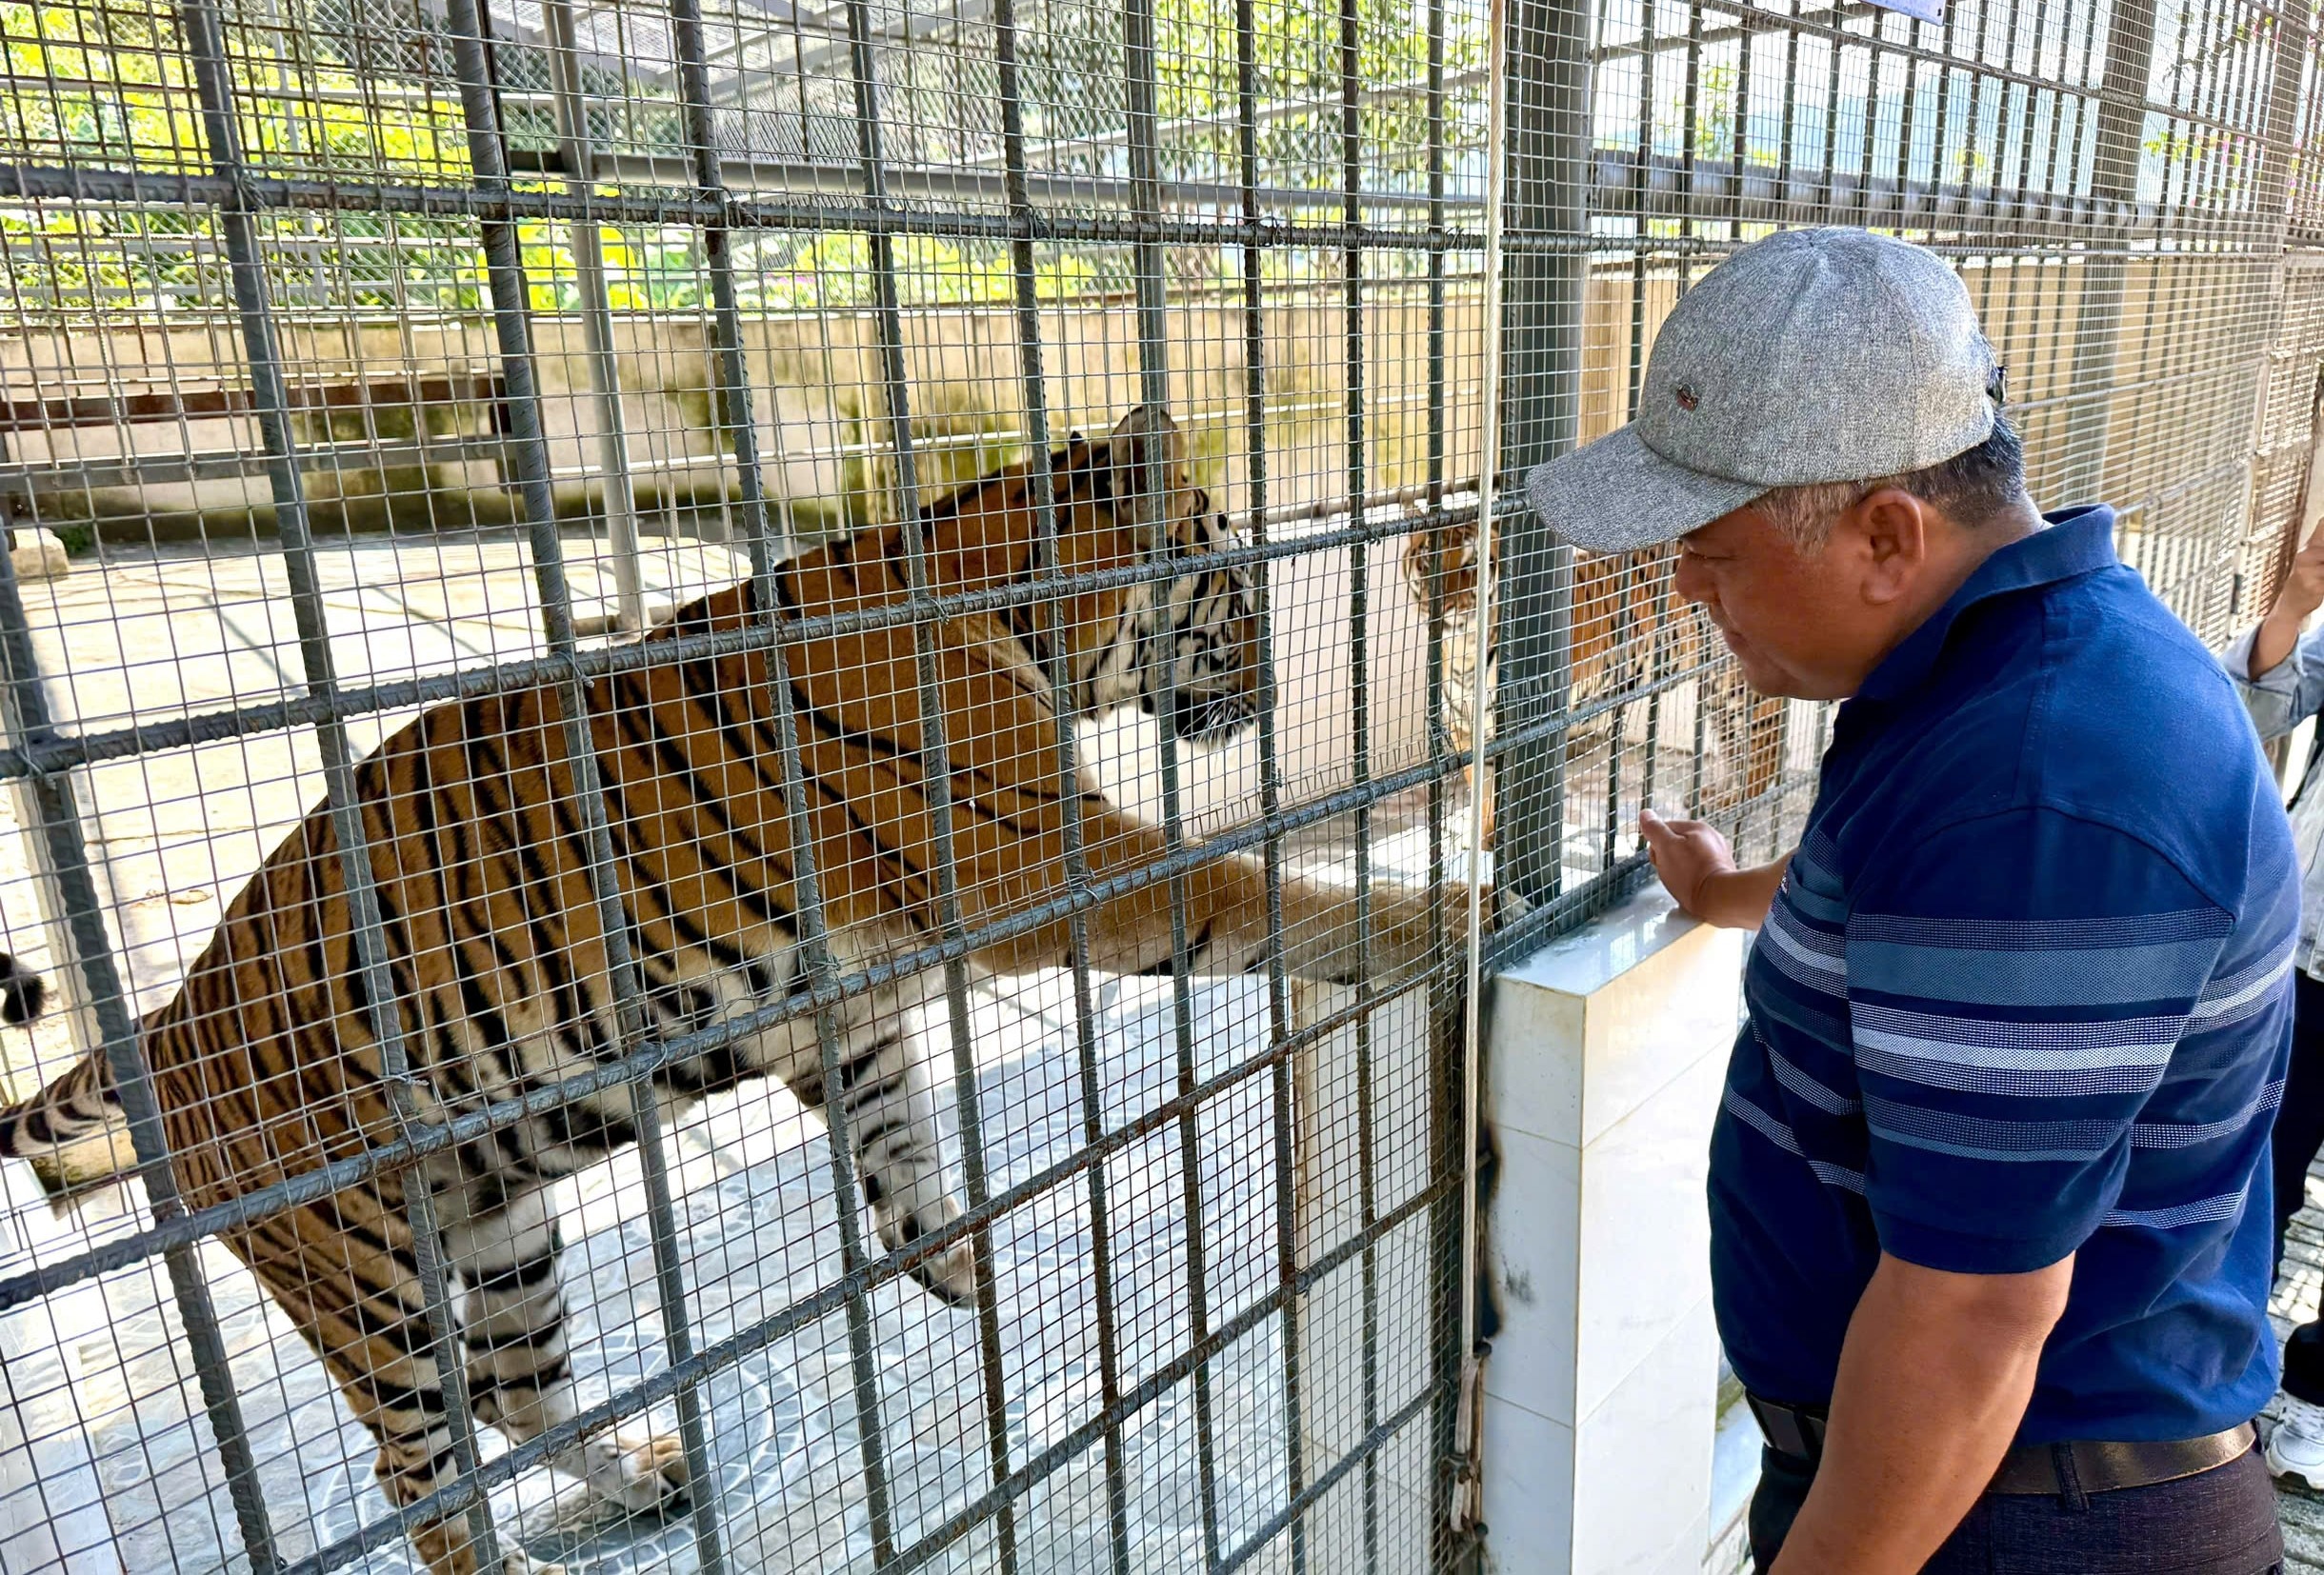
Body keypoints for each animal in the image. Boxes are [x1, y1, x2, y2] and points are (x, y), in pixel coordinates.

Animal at [0, 406, 1459, 1575]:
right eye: (1239, 594)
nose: (1272, 689)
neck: (1011, 609)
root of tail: (162, 1028)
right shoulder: (1067, 871)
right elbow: (1267, 898)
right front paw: (1439, 914)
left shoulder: (845, 1009)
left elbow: (892, 1138)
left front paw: (959, 1258)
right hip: (365, 1283)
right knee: (415, 1474)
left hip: (499, 1223)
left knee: (517, 1392)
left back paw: (646, 1474)